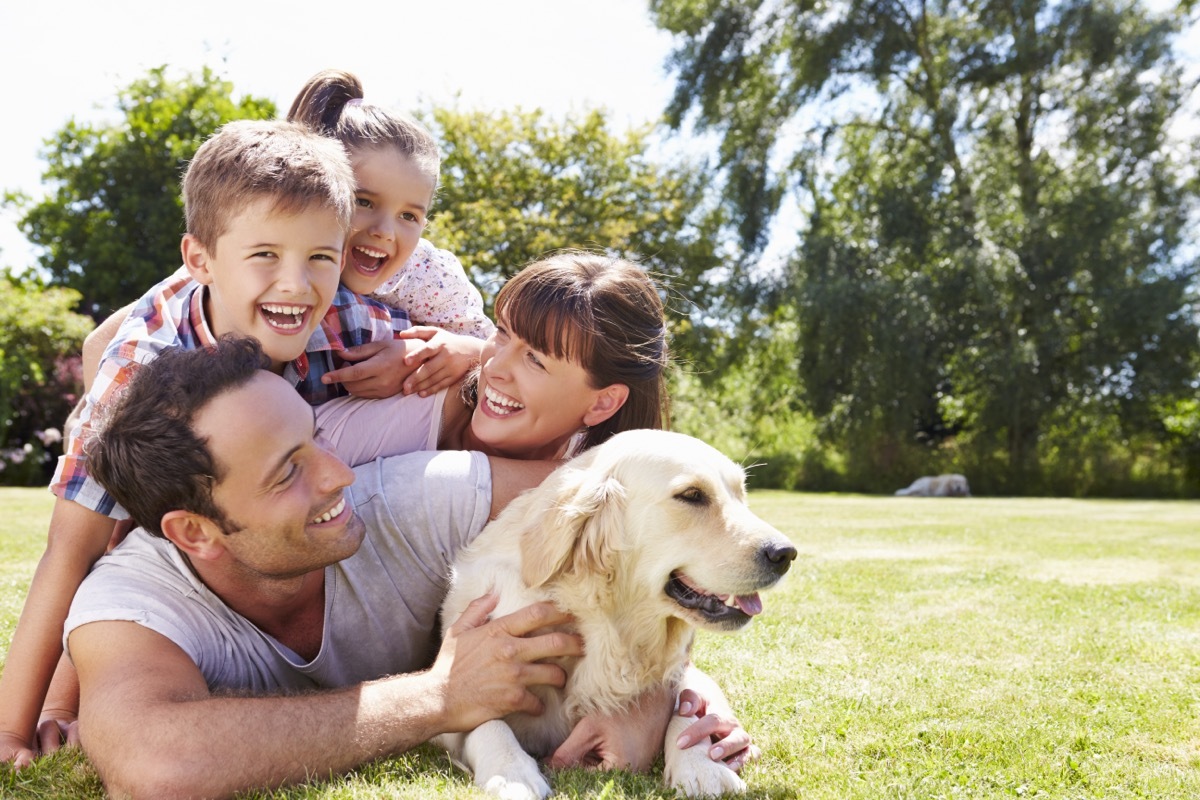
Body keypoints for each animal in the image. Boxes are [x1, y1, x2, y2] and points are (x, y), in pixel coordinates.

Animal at [434, 431, 796, 800]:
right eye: (692, 495)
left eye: (741, 494)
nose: (785, 553)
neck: (603, 625)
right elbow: (484, 718)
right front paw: (512, 773)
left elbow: (687, 706)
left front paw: (702, 766)